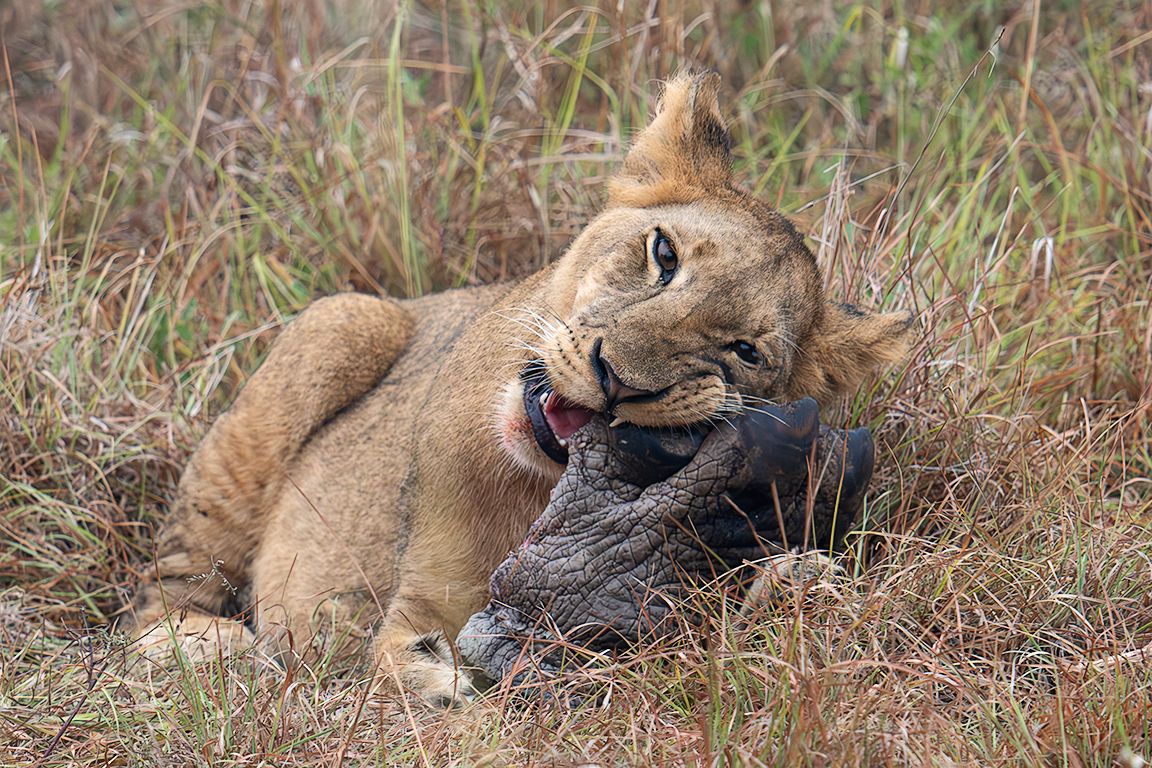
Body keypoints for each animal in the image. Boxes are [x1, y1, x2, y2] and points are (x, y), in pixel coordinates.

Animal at [123, 71, 913, 706]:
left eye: (744, 352)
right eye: (663, 254)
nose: (616, 379)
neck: (535, 488)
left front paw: (792, 592)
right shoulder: (424, 599)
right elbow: (387, 657)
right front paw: (434, 681)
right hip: (339, 323)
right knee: (158, 596)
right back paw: (206, 649)